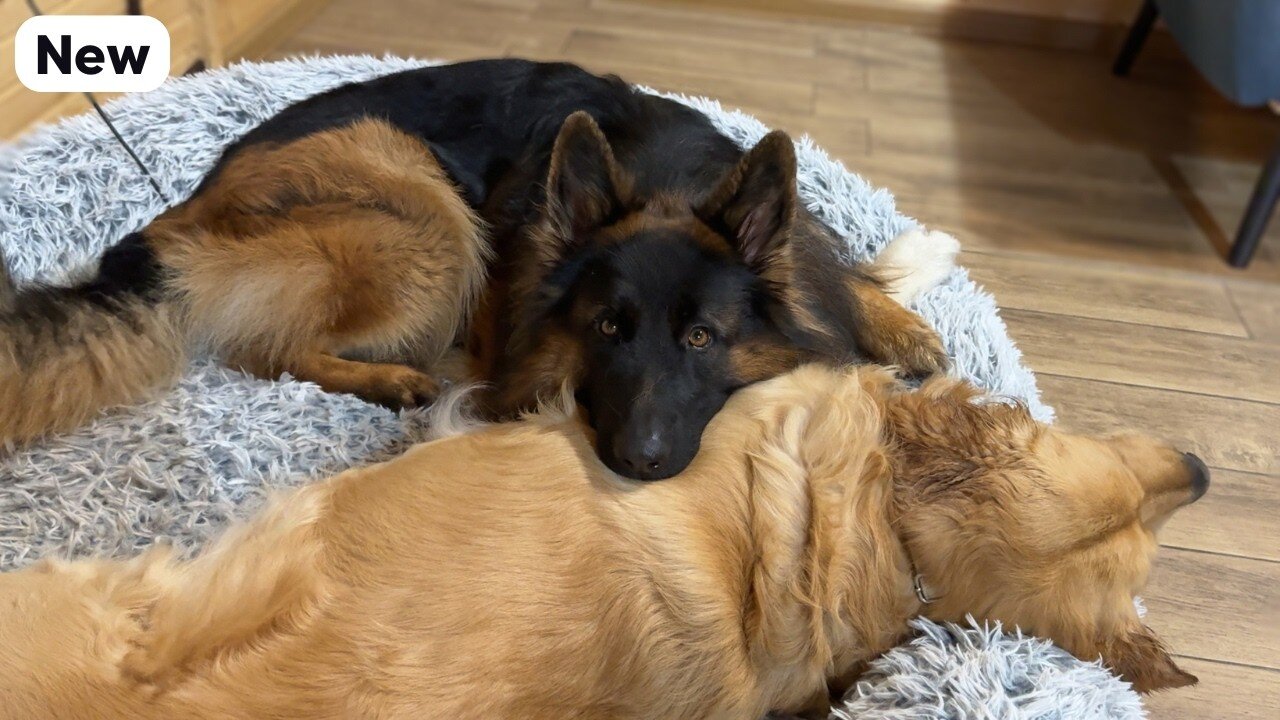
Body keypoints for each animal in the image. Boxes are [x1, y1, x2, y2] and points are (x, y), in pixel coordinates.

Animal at [0, 60, 947, 476]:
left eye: (702, 338)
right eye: (608, 329)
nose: (636, 463)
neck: (666, 177)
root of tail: (173, 219)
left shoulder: (801, 258)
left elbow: (842, 275)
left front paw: (904, 326)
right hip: (429, 212)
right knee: (265, 351)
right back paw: (395, 381)